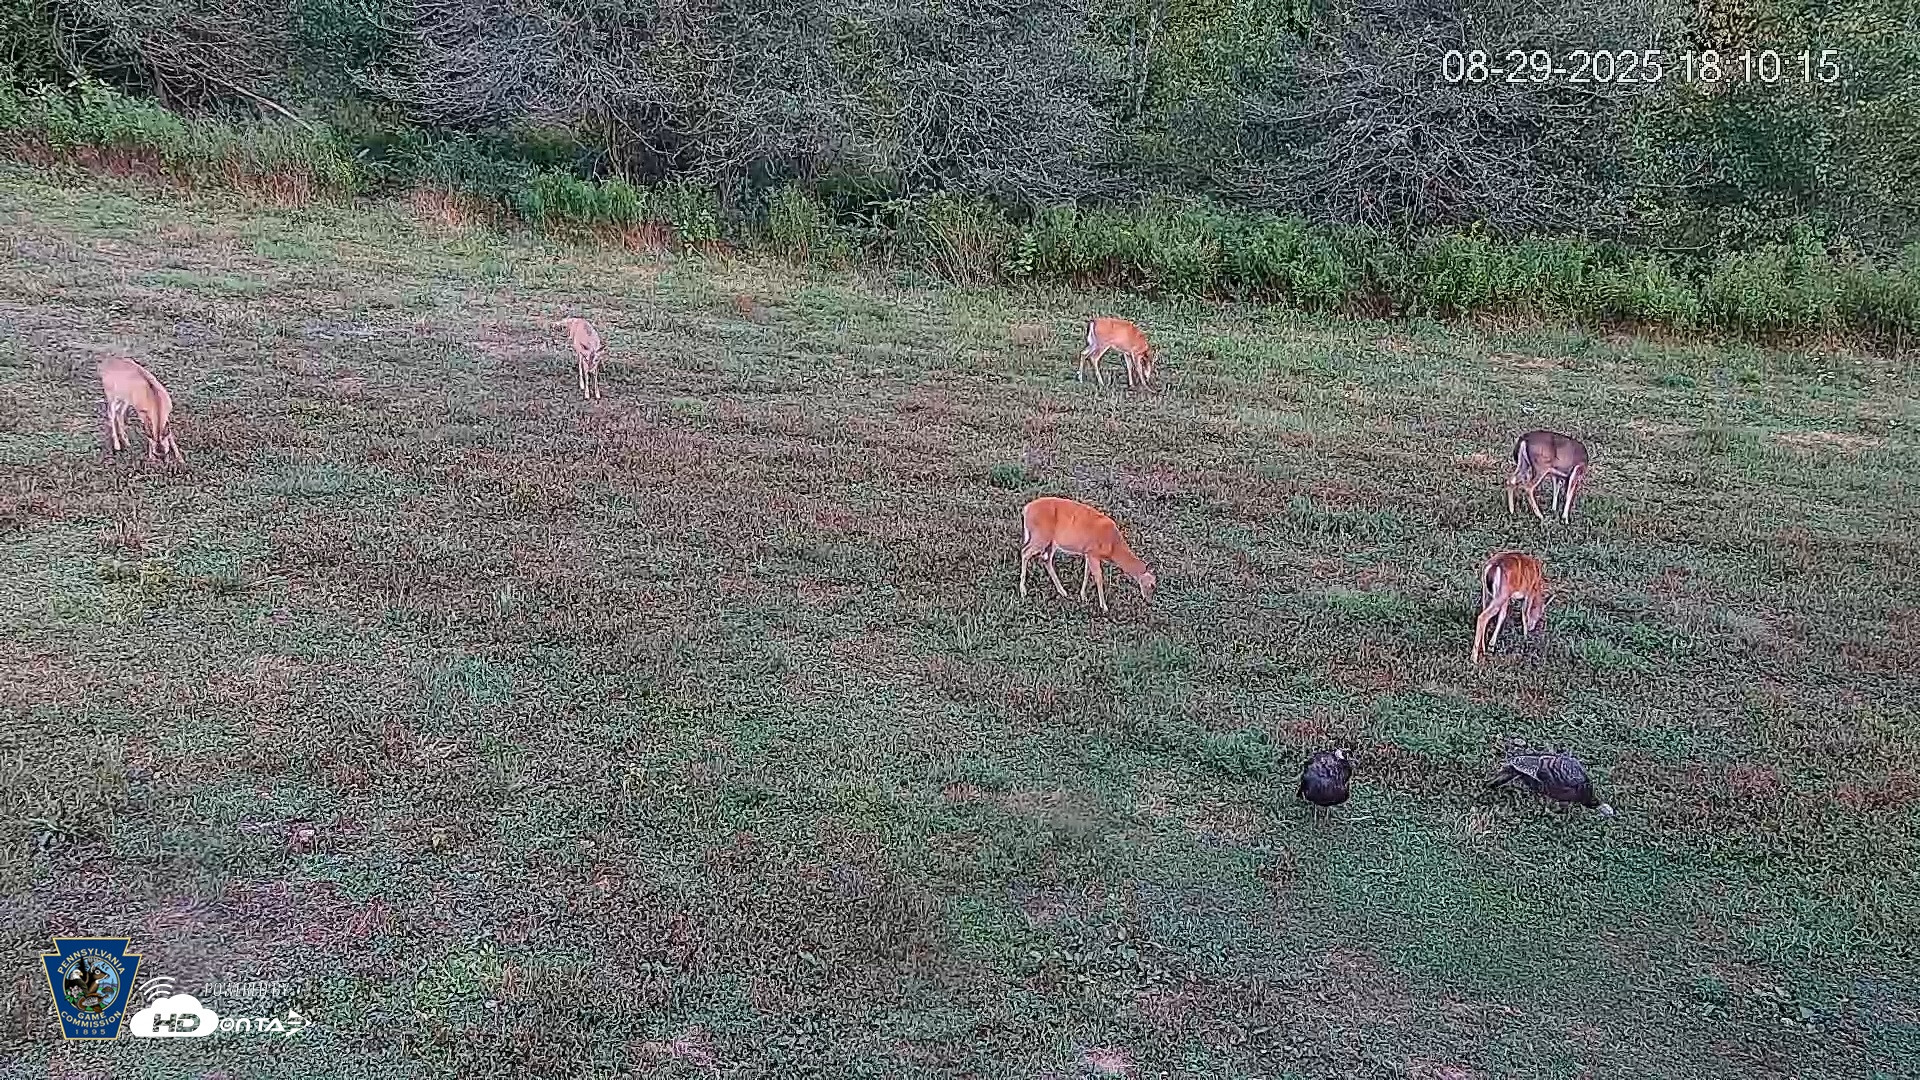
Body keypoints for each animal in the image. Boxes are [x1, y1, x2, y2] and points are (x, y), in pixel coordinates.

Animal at [1019, 496, 1157, 612]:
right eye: (1152, 585)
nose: (1149, 602)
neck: (1113, 547)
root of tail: (1026, 509)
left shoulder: (1088, 553)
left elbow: (1086, 573)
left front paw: (1083, 596)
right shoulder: (1093, 553)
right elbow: (1098, 577)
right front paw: (1104, 606)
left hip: (1051, 542)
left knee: (1045, 559)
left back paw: (1063, 591)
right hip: (1040, 536)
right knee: (1025, 552)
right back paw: (1023, 591)